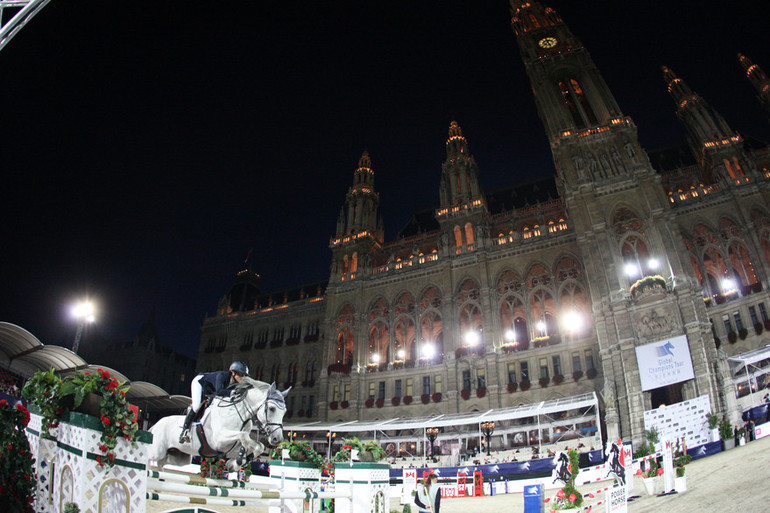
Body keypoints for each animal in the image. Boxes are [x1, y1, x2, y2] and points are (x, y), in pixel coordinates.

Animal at [148, 374, 286, 470]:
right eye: (272, 409)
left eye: (284, 412)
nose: (277, 439)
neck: (240, 414)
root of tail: (155, 425)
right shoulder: (219, 440)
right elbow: (244, 436)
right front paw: (237, 463)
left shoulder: (229, 448)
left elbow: (256, 445)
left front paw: (235, 464)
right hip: (157, 451)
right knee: (149, 458)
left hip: (179, 457)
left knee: (161, 463)